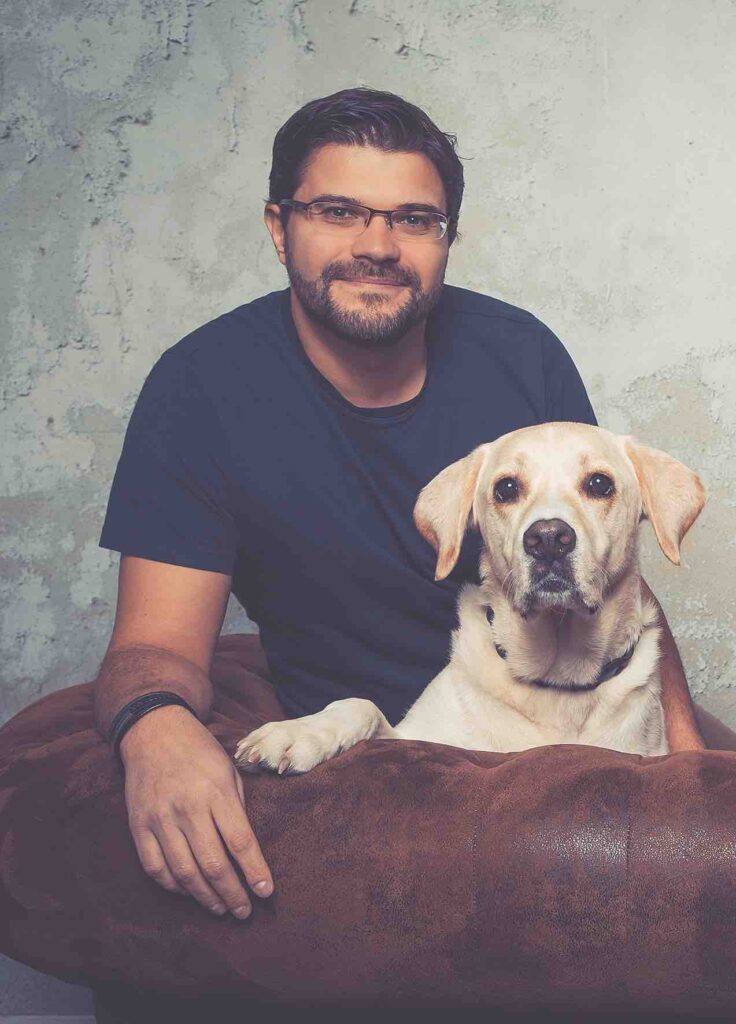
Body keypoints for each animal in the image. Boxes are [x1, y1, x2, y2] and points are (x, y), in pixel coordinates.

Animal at [234, 422, 705, 772]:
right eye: (506, 489)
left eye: (599, 483)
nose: (548, 539)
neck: (555, 678)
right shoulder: (412, 738)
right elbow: (361, 705)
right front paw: (298, 733)